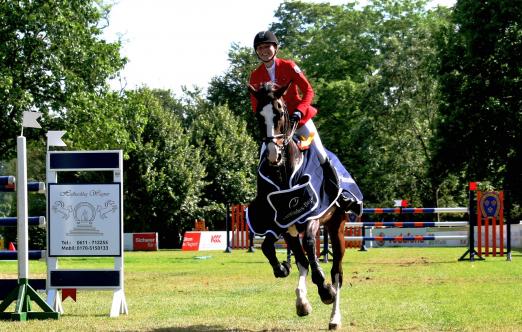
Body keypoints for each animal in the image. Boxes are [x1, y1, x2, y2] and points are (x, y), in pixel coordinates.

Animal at [245, 81, 360, 330]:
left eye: (279, 113)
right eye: (259, 116)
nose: (272, 155)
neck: (284, 174)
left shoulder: (310, 217)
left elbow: (309, 247)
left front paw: (325, 290)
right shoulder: (282, 224)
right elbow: (273, 249)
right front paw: (284, 272)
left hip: (336, 226)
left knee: (337, 272)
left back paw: (334, 316)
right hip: (293, 231)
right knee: (303, 261)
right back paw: (303, 299)